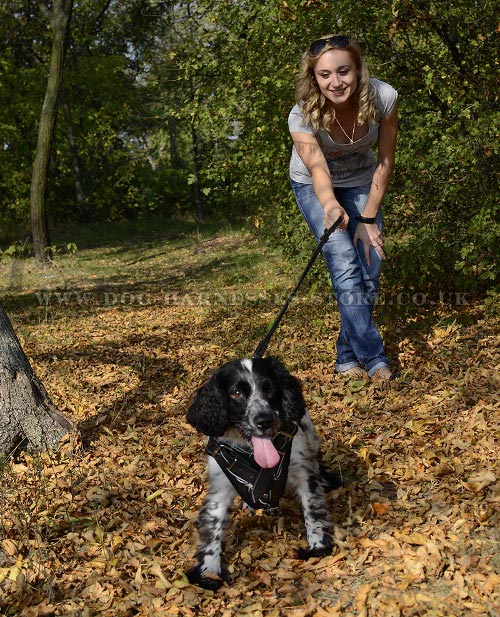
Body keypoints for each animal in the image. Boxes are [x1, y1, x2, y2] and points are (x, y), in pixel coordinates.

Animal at [186, 358, 338, 588]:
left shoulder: (305, 471)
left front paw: (317, 546)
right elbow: (213, 526)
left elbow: (312, 509)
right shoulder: (220, 486)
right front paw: (209, 571)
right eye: (236, 393)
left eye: (270, 388)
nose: (264, 420)